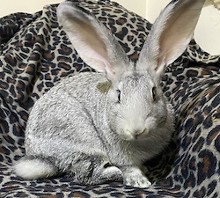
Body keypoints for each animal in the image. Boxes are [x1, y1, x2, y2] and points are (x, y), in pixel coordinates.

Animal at [14, 0, 205, 187]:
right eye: (119, 95)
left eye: (154, 93)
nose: (136, 129)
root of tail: (40, 157)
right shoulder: (122, 157)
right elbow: (129, 167)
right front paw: (140, 181)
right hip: (82, 140)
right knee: (86, 173)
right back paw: (115, 172)